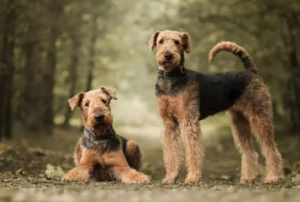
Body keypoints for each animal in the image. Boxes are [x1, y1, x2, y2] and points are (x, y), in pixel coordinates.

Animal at [149, 29, 284, 185]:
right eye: (161, 41)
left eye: (177, 42)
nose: (168, 55)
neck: (171, 77)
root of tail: (251, 72)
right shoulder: (169, 123)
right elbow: (170, 152)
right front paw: (170, 177)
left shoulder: (188, 121)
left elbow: (193, 151)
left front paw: (193, 177)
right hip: (239, 122)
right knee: (250, 151)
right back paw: (248, 178)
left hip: (259, 116)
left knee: (271, 149)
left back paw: (274, 176)